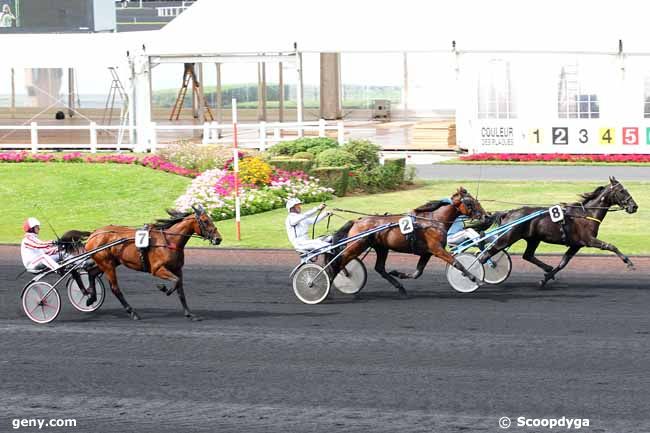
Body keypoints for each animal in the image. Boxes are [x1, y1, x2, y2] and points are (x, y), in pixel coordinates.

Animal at [77, 206, 220, 320]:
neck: (169, 241)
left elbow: (180, 289)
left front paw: (189, 314)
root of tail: (94, 234)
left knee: (92, 273)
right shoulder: (157, 269)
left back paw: (90, 298)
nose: (218, 239)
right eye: (205, 221)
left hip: (110, 262)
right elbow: (175, 281)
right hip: (107, 264)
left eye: (211, 219)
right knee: (115, 288)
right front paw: (163, 288)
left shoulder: (178, 269)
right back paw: (132, 312)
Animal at [326, 187, 484, 296]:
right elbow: (457, 263)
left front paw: (399, 274)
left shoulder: (427, 252)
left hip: (381, 247)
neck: (433, 221)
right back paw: (329, 280)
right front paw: (474, 278)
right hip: (357, 245)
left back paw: (399, 286)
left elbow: (418, 272)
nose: (485, 215)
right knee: (339, 261)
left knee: (379, 268)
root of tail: (357, 221)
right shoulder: (437, 249)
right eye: (470, 202)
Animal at [478, 177, 636, 288]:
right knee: (484, 256)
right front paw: (629, 263)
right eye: (622, 191)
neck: (586, 214)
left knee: (527, 255)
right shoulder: (589, 240)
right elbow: (611, 246)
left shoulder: (576, 245)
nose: (634, 206)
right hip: (506, 238)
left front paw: (545, 279)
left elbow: (563, 263)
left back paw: (547, 268)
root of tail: (508, 213)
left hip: (533, 239)